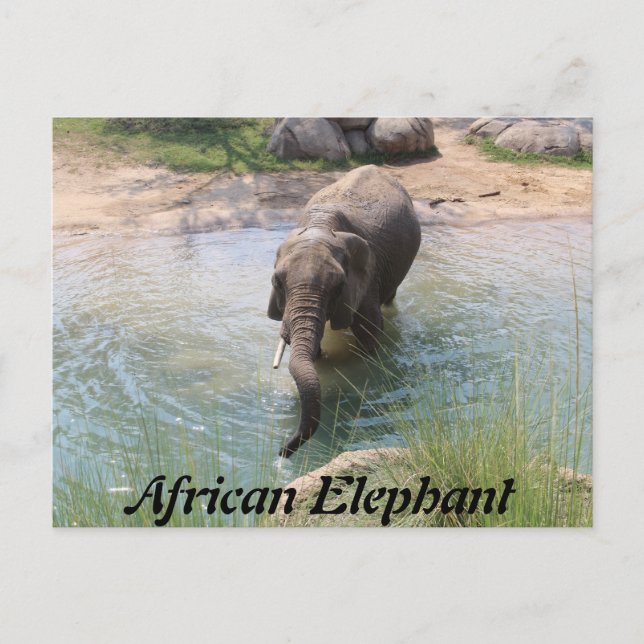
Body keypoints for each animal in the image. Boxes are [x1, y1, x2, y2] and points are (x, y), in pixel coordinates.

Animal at [268, 165, 421, 457]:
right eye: (277, 282)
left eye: (339, 286)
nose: (281, 452)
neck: (320, 227)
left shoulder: (367, 276)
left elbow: (369, 330)